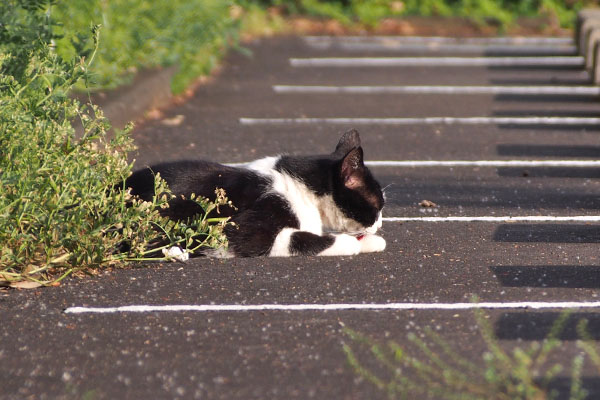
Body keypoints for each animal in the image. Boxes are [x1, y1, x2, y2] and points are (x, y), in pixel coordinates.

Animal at [125, 130, 386, 258]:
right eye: (377, 206)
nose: (380, 224)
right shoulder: (245, 231)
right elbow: (307, 239)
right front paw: (350, 243)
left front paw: (373, 241)